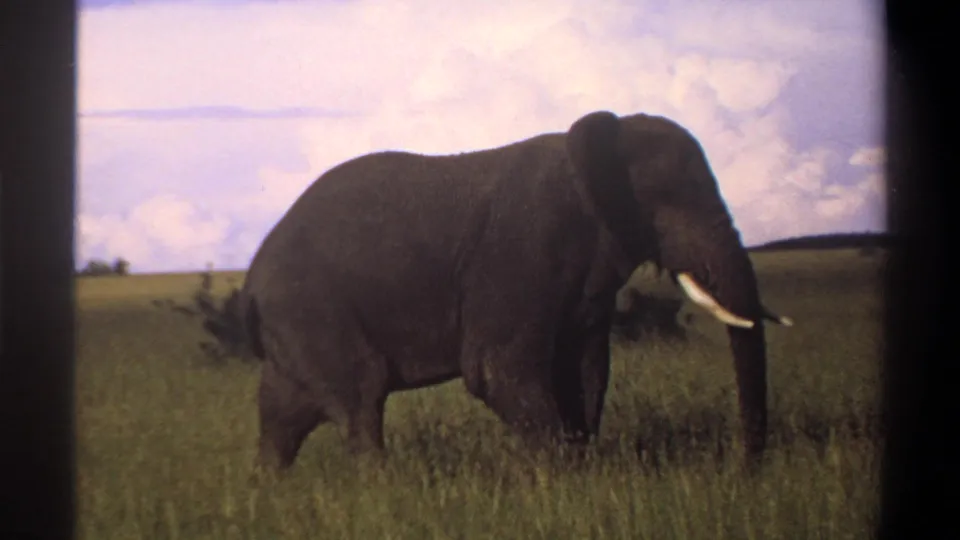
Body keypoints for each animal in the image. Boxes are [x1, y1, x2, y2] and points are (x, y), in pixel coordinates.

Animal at [238, 110, 793, 472]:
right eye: (670, 202)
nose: (746, 469)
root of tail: (251, 278)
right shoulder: (521, 248)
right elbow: (497, 370)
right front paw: (567, 483)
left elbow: (586, 370)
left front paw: (586, 469)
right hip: (312, 311)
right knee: (360, 402)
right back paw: (381, 489)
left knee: (282, 419)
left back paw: (271, 489)